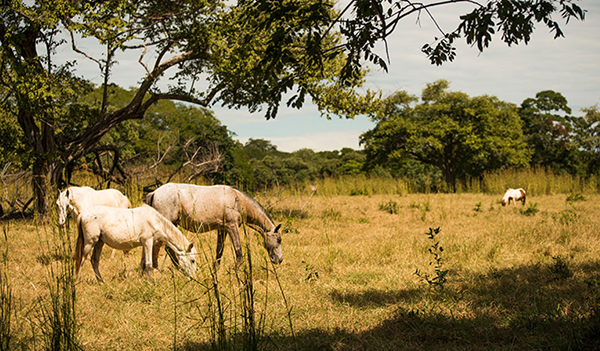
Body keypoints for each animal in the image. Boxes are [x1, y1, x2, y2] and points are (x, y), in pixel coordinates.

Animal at [147, 184, 284, 266]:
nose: (279, 260)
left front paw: (216, 268)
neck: (237, 200)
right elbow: (238, 250)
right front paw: (237, 269)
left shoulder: (222, 229)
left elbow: (219, 251)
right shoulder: (232, 227)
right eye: (278, 240)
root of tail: (154, 192)